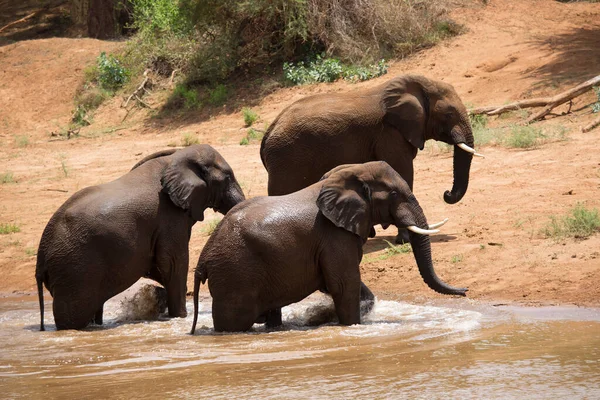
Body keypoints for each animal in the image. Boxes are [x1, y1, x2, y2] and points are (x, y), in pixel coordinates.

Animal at [35, 145, 245, 330]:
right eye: (227, 177)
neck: (177, 156)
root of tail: (41, 256)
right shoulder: (168, 216)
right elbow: (173, 264)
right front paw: (178, 316)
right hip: (73, 270)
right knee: (72, 317)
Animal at [192, 161, 468, 332]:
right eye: (394, 195)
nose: (465, 291)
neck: (351, 173)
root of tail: (203, 257)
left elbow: (339, 283)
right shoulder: (334, 236)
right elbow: (344, 284)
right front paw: (351, 325)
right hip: (234, 274)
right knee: (234, 321)